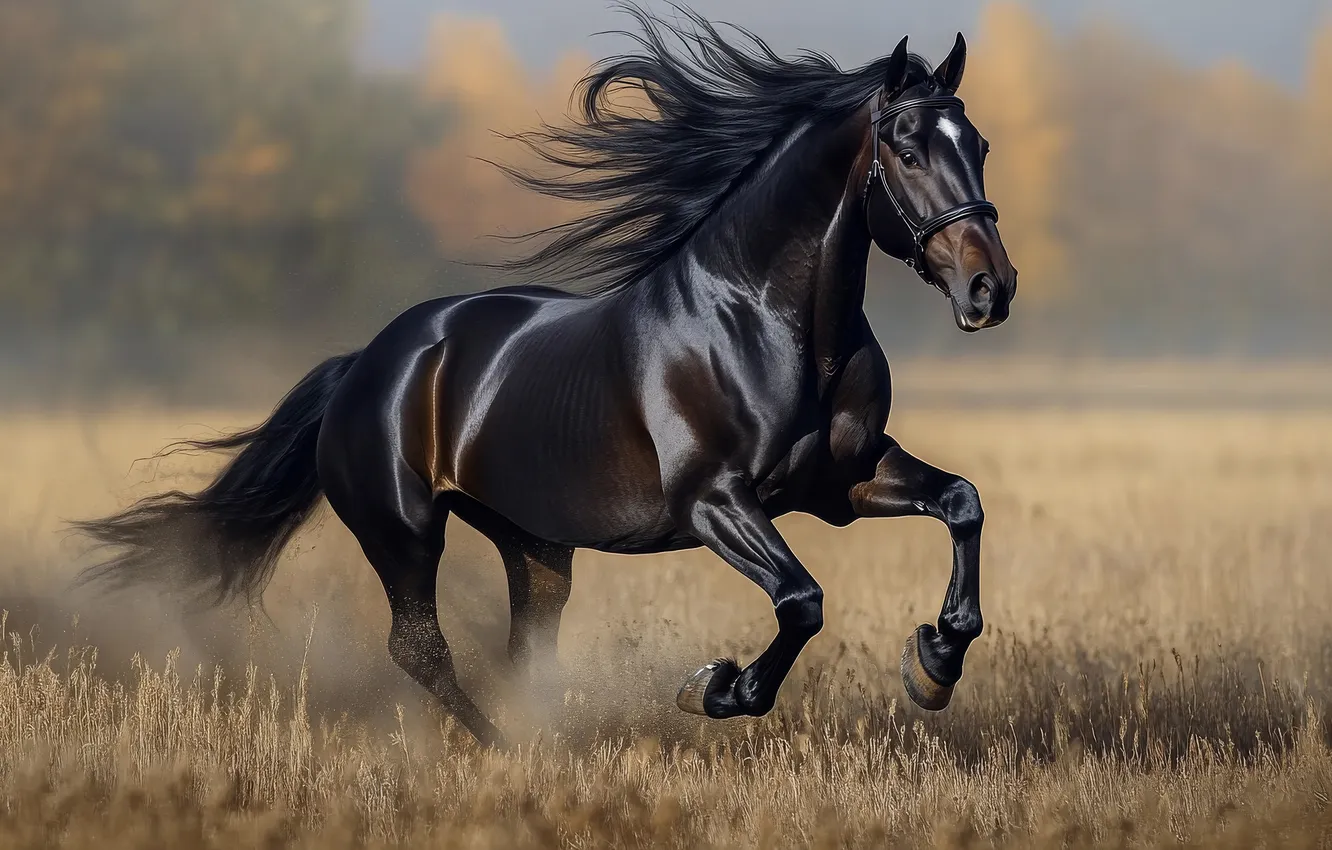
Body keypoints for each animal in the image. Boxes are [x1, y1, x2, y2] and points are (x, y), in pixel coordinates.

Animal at [75, 6, 1017, 748]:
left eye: (978, 142)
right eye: (906, 149)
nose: (991, 288)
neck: (769, 323)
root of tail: (365, 364)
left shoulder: (842, 482)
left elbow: (962, 503)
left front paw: (933, 664)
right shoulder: (716, 502)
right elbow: (802, 599)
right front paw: (715, 689)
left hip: (534, 542)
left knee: (525, 643)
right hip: (404, 531)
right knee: (419, 648)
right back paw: (506, 748)